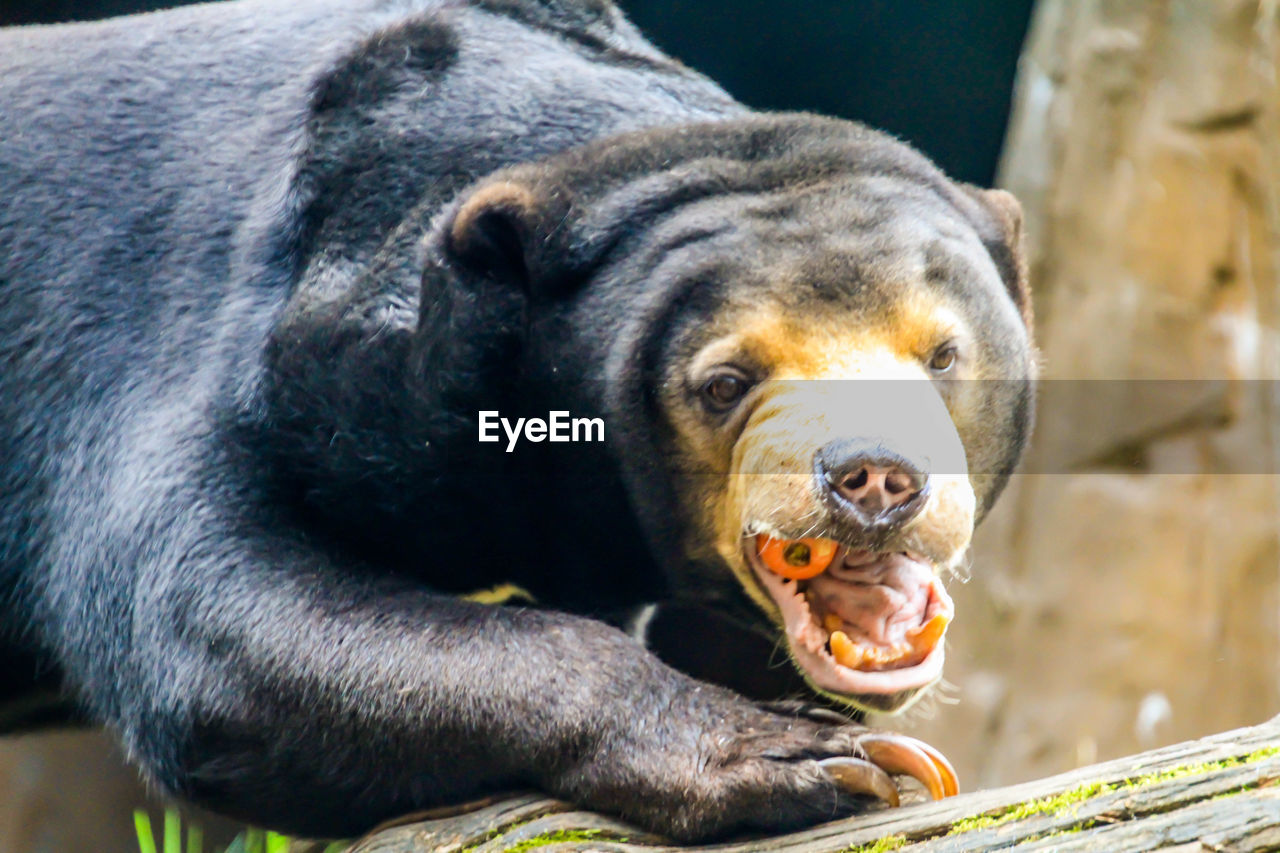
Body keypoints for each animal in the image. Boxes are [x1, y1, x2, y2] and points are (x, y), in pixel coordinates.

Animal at [0, 0, 1034, 840]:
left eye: (943, 355)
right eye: (723, 382)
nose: (876, 476)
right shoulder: (207, 340)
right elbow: (203, 616)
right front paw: (810, 758)